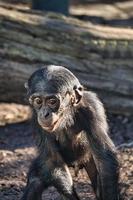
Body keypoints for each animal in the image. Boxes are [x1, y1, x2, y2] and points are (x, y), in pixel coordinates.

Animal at [21, 65, 119, 200]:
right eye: (38, 101)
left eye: (52, 101)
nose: (44, 114)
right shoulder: (37, 120)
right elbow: (54, 160)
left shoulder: (93, 108)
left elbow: (105, 159)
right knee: (36, 180)